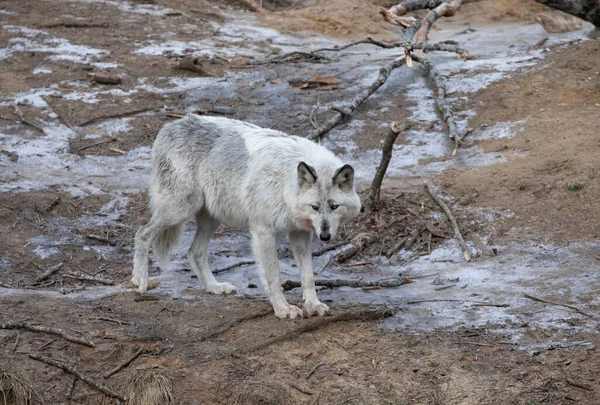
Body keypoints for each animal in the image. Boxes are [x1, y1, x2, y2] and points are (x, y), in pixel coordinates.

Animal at [131, 114, 360, 318]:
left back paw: (214, 287)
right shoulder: (263, 232)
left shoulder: (300, 233)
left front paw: (313, 305)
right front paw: (283, 309)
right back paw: (139, 281)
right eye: (314, 207)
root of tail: (168, 127)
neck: (286, 184)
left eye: (334, 207)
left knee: (195, 252)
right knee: (142, 234)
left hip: (211, 218)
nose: (325, 237)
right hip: (180, 210)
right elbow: (274, 277)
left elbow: (308, 276)